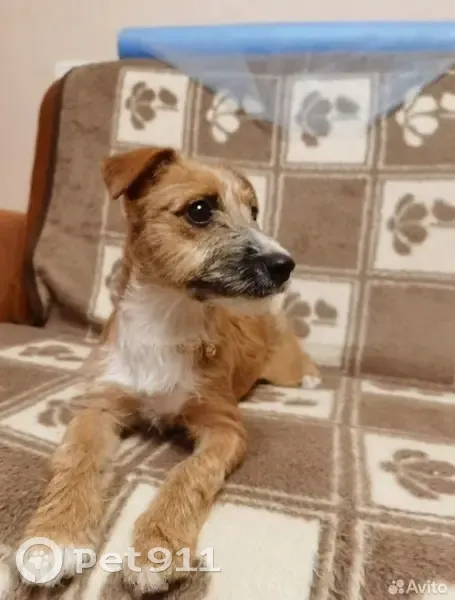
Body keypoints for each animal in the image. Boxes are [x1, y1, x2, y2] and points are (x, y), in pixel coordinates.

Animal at [17, 147, 321, 594]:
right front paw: (54, 536)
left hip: (284, 364)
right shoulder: (99, 408)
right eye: (200, 210)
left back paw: (313, 378)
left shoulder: (224, 427)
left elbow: (188, 473)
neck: (165, 320)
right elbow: (77, 459)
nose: (285, 265)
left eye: (253, 212)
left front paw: (156, 548)